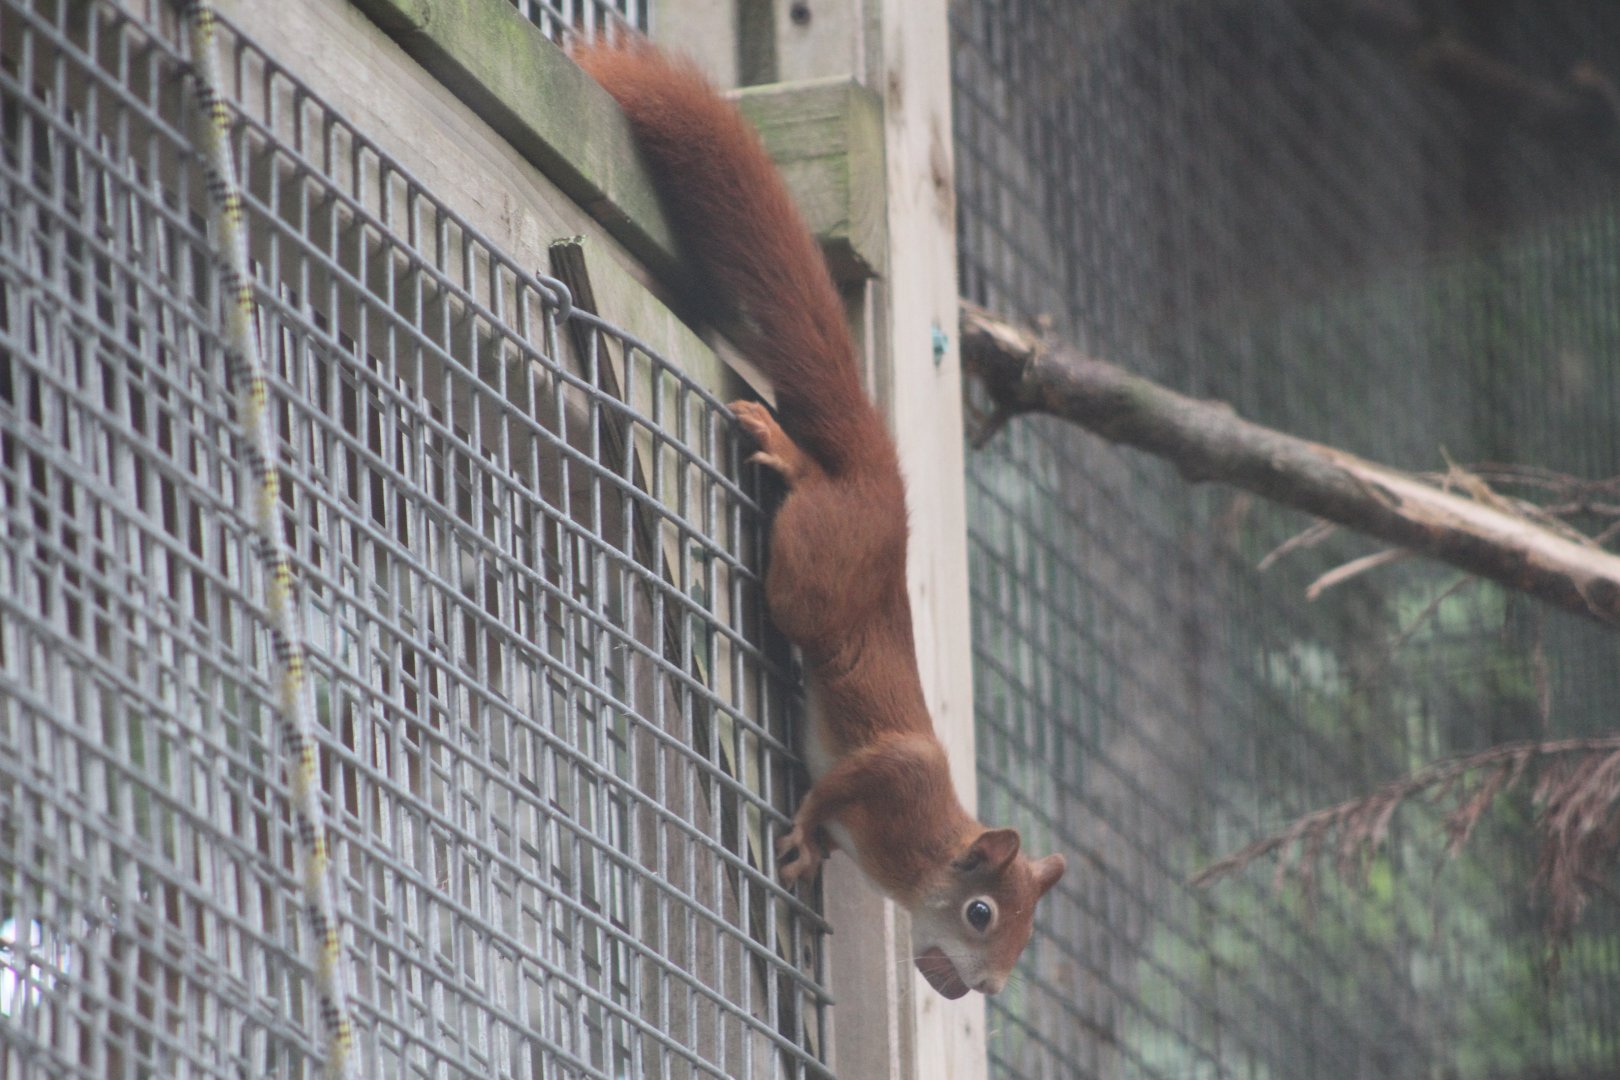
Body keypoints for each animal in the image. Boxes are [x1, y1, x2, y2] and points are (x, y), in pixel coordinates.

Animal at [575, 42, 1065, 999]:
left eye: (1027, 936)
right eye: (982, 913)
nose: (982, 988)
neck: (921, 855)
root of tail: (884, 486)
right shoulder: (895, 775)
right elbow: (839, 787)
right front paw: (804, 833)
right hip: (817, 560)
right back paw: (788, 453)